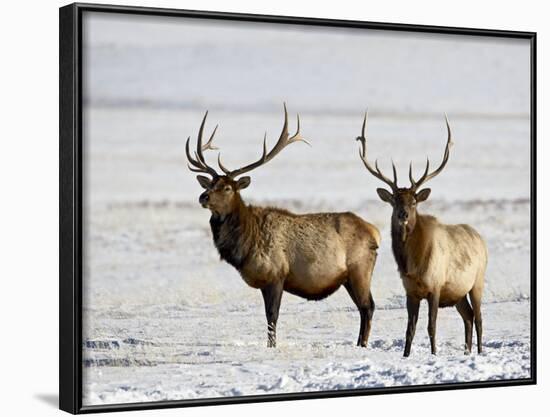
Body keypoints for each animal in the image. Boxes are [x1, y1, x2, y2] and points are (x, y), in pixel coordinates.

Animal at [188, 105, 382, 348]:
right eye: (211, 184)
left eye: (227, 188)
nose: (203, 197)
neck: (245, 245)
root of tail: (375, 232)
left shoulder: (276, 275)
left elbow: (272, 317)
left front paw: (271, 347)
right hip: (349, 277)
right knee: (364, 308)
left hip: (360, 269)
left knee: (368, 306)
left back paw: (362, 345)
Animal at [356, 112, 490, 356]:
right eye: (394, 200)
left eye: (414, 201)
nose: (403, 214)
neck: (414, 264)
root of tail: (480, 239)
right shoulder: (410, 291)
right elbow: (409, 329)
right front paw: (406, 355)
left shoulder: (435, 286)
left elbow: (431, 326)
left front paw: (434, 353)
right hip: (457, 292)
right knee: (468, 316)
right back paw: (466, 351)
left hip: (477, 281)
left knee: (479, 318)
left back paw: (478, 352)